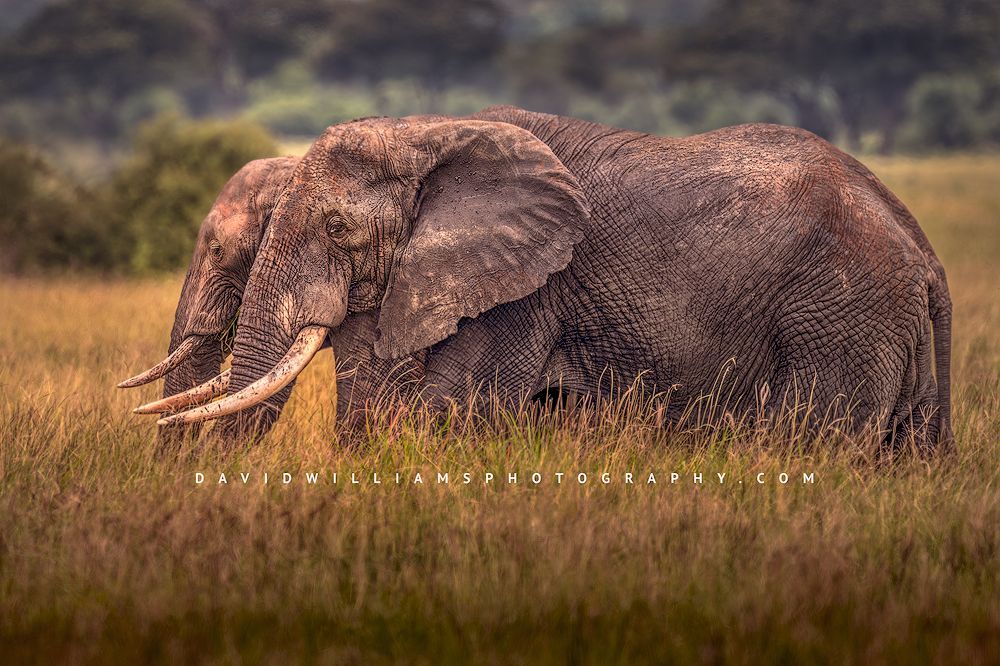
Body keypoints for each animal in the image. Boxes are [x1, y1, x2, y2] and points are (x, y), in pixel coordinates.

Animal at [140, 106, 952, 450]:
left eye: (338, 228)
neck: (424, 131)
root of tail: (924, 250)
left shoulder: (528, 289)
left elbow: (446, 409)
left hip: (840, 319)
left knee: (809, 442)